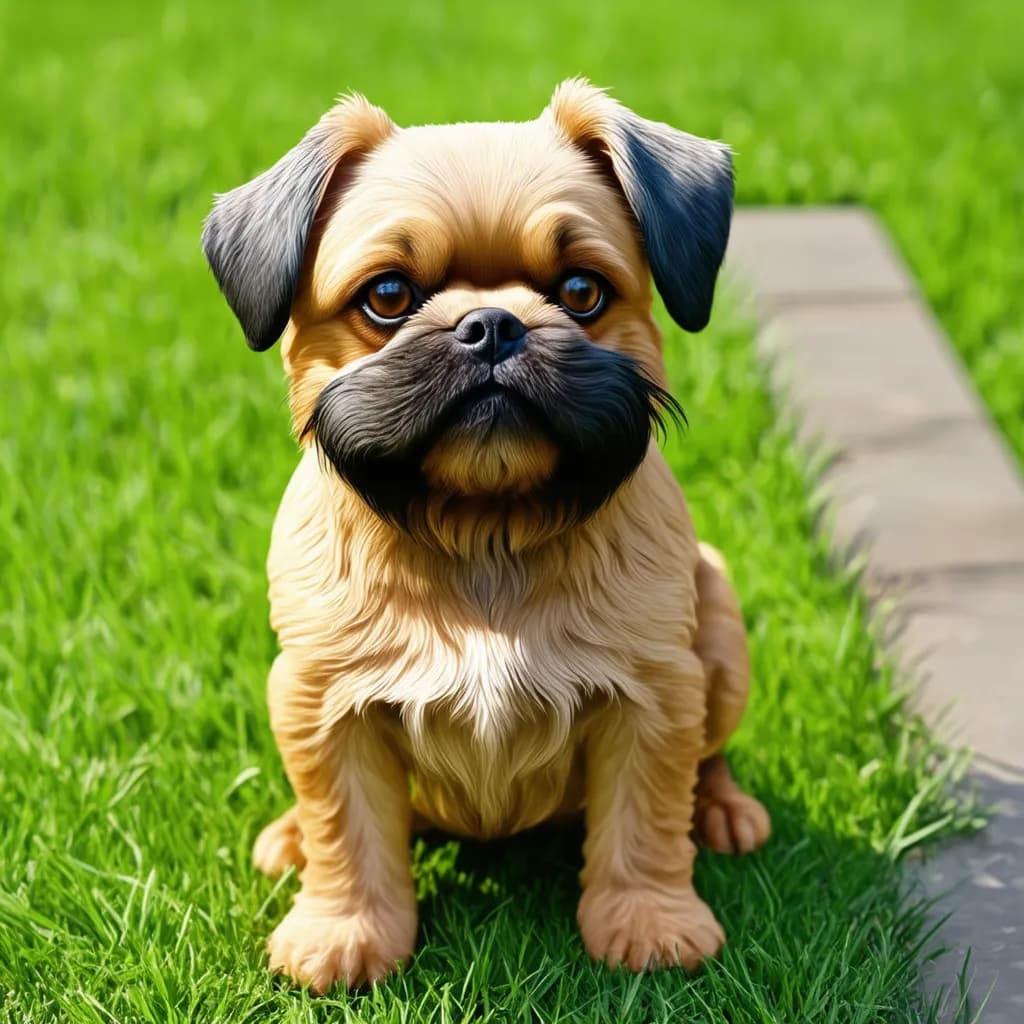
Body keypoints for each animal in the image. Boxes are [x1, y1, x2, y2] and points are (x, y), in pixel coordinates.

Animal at [201, 77, 770, 991]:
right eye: (388, 298)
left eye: (581, 291)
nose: (493, 324)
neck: (484, 532)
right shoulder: (324, 705)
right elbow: (345, 832)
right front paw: (343, 931)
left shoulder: (654, 696)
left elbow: (644, 821)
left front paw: (649, 922)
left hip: (718, 627)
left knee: (706, 760)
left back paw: (720, 809)